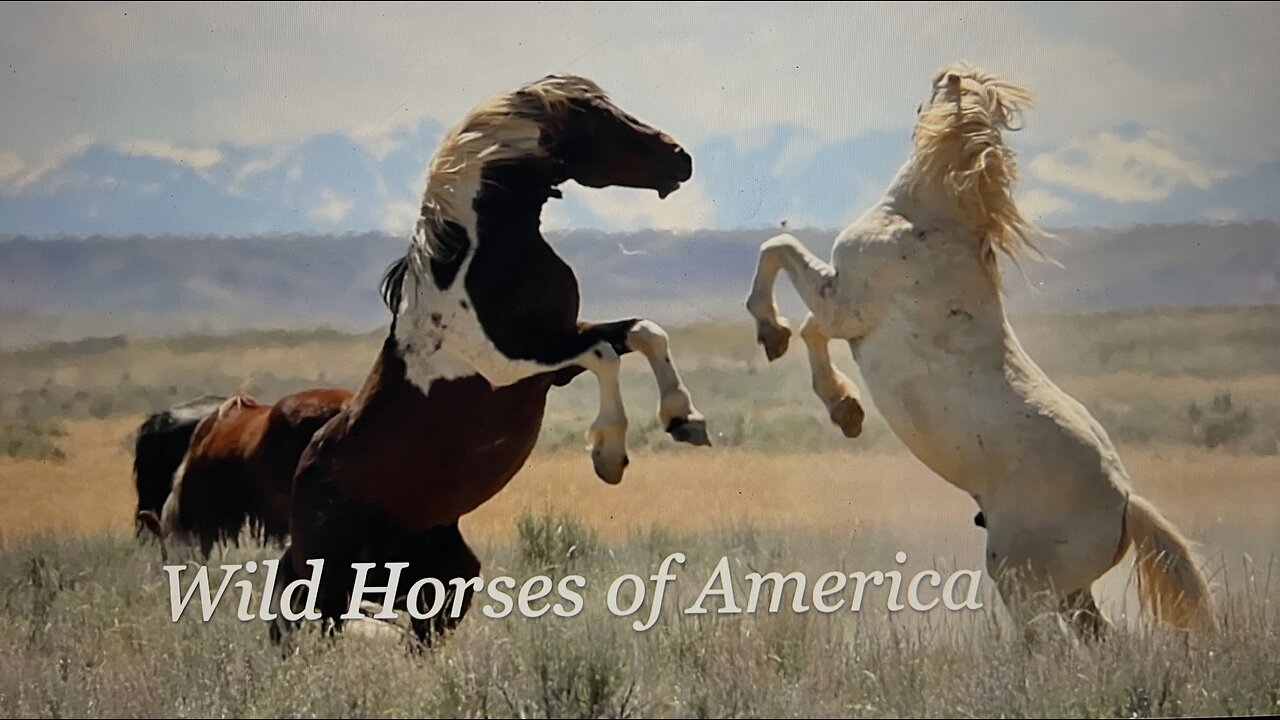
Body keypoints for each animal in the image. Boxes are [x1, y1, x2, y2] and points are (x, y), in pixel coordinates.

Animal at [272, 75, 711, 640]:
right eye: (598, 120)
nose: (681, 159)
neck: (483, 260)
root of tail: (302, 484)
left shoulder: (560, 347)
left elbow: (645, 333)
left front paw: (686, 420)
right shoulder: (512, 367)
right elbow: (604, 356)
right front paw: (609, 456)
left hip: (443, 579)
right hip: (327, 586)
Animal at [747, 61, 1213, 632]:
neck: (924, 222)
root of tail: (1126, 503)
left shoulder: (846, 304)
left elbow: (780, 256)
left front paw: (774, 335)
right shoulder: (844, 310)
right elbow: (810, 327)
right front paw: (847, 410)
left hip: (1022, 580)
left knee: (1048, 642)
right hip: (1071, 592)